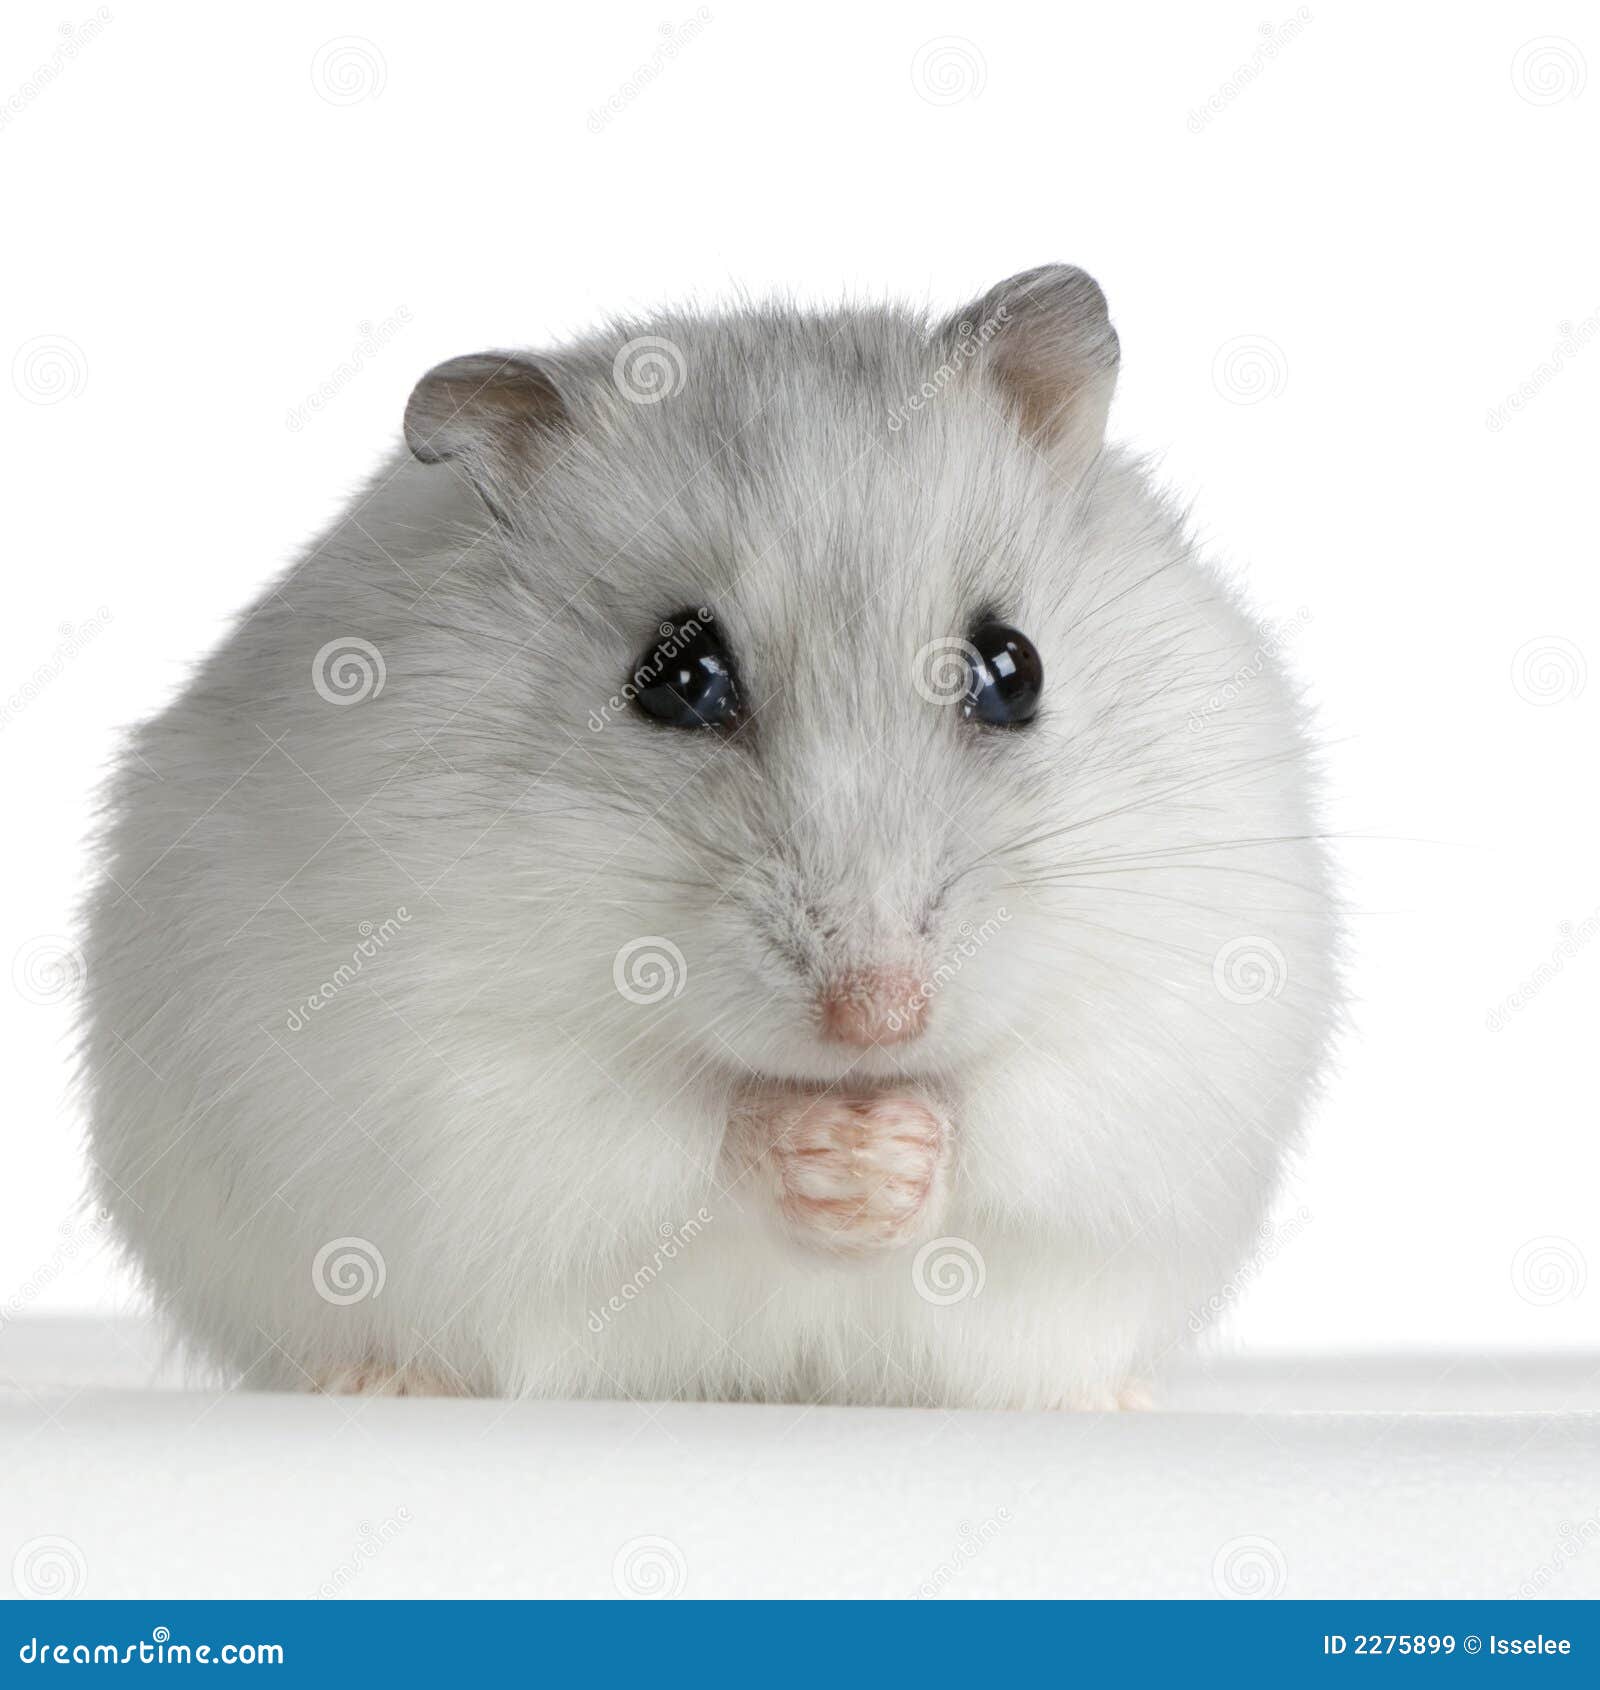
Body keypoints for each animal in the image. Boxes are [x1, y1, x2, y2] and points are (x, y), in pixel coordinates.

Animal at [81, 266, 1339, 1407]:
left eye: (1010, 669)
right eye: (676, 679)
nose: (879, 1019)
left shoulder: (1167, 1017)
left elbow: (1005, 1115)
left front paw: (887, 1154)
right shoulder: (452, 1057)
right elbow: (685, 1128)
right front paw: (828, 1152)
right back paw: (380, 1382)